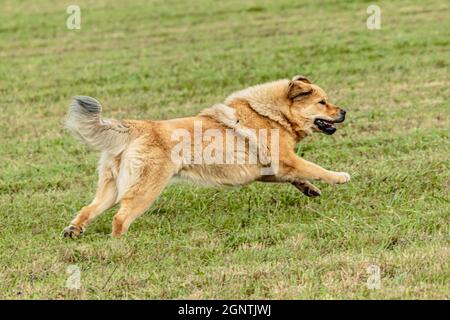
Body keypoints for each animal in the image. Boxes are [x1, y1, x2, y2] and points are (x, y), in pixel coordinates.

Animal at [64, 75, 352, 238]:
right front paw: (339, 177)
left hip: (112, 188)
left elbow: (298, 176)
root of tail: (139, 126)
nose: (344, 111)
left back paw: (74, 230)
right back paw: (120, 245)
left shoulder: (269, 170)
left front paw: (309, 189)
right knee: (120, 219)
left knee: (88, 209)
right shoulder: (285, 161)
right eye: (322, 102)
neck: (272, 113)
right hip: (145, 190)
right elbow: (315, 167)